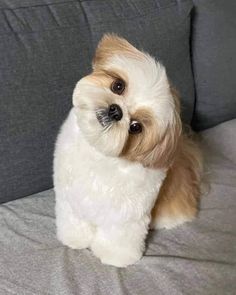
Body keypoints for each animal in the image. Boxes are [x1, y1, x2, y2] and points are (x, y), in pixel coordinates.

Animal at [53, 34, 201, 268]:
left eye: (135, 127)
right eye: (118, 85)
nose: (116, 111)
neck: (99, 153)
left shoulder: (125, 217)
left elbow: (118, 237)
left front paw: (115, 257)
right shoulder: (70, 198)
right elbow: (74, 219)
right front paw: (74, 238)